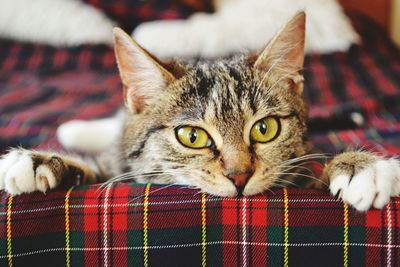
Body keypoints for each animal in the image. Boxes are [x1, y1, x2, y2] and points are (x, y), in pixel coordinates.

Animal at [0, 13, 398, 213]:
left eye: (265, 129)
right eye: (192, 137)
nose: (240, 177)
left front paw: (360, 167)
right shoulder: (122, 169)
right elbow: (100, 169)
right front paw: (39, 162)